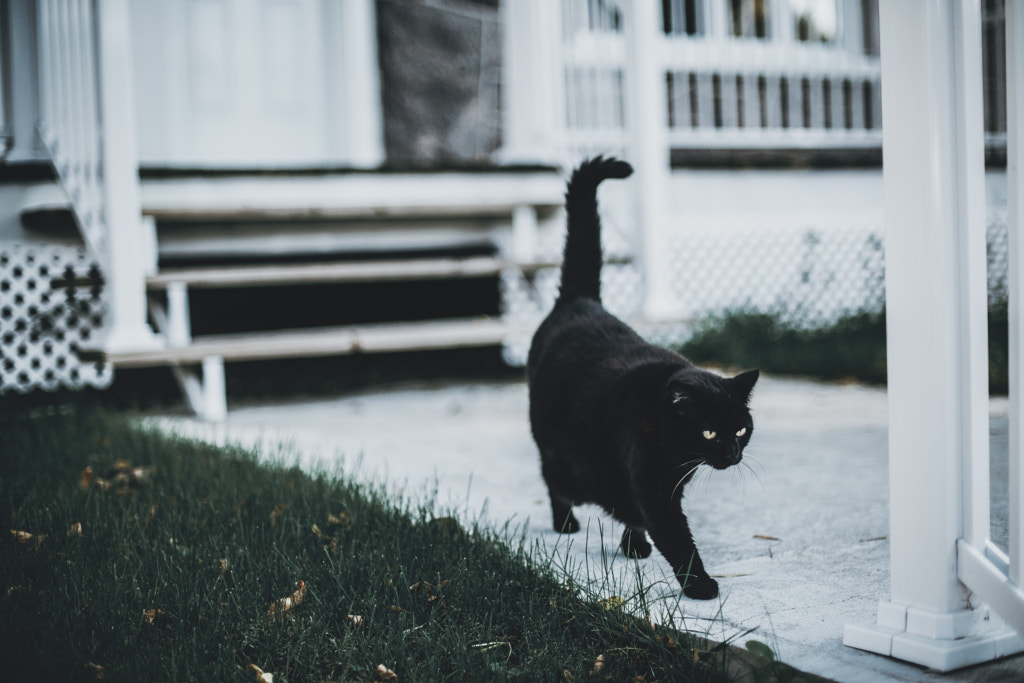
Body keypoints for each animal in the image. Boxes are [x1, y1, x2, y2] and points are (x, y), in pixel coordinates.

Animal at [532, 157, 757, 602]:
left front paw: (635, 545)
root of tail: (579, 301)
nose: (731, 454)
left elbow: (640, 516)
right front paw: (700, 585)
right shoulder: (653, 488)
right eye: (709, 432)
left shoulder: (659, 484)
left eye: (741, 430)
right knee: (554, 480)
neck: (678, 458)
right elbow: (676, 536)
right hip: (563, 457)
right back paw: (564, 523)